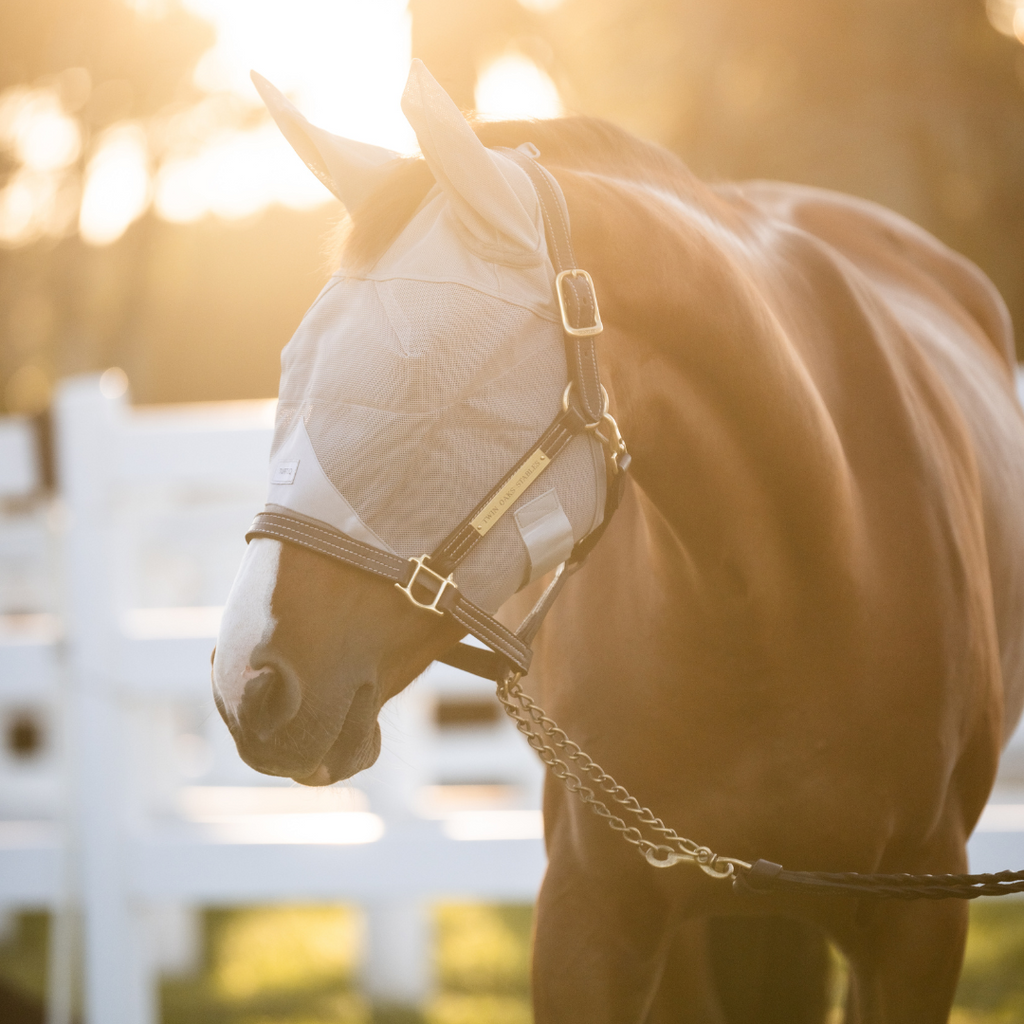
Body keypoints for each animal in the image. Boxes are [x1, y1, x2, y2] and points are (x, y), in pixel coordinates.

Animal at [212, 60, 1024, 1023]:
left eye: (421, 385)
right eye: (289, 367)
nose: (247, 683)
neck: (794, 587)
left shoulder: (915, 924)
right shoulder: (593, 916)